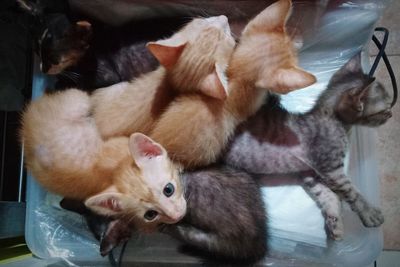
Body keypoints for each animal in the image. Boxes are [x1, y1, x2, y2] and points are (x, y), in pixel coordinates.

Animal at [227, 52, 392, 241]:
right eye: (385, 110)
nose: (391, 114)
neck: (333, 119)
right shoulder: (331, 168)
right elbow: (351, 192)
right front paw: (370, 213)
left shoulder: (309, 173)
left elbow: (328, 195)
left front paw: (335, 221)